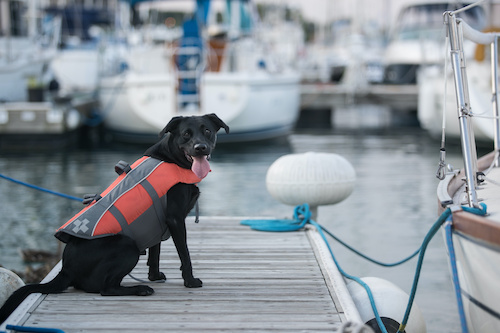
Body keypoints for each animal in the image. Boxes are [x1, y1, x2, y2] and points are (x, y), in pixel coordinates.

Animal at [0, 112, 229, 322]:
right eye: (186, 134)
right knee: (106, 288)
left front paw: (154, 277)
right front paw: (190, 281)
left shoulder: (159, 220)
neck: (172, 159)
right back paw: (139, 289)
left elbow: (155, 254)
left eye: (207, 131)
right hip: (127, 246)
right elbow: (185, 254)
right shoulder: (175, 219)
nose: (200, 147)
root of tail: (65, 269)